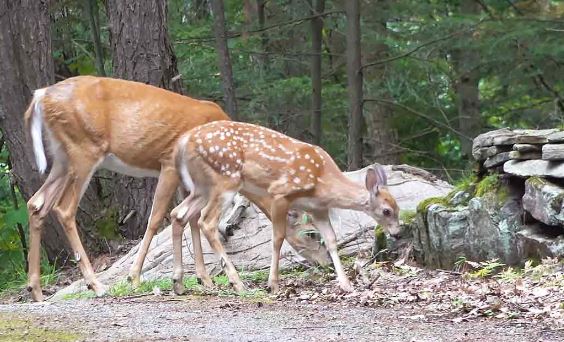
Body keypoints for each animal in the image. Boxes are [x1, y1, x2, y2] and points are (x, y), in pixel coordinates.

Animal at [24, 76, 229, 300]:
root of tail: (42, 95)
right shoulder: (168, 163)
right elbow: (156, 219)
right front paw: (134, 277)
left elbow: (191, 220)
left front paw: (205, 279)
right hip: (84, 149)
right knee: (64, 209)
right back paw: (96, 285)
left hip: (62, 156)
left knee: (36, 203)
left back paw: (36, 290)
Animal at [170, 120, 398, 294]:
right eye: (386, 211)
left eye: (397, 208)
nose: (396, 232)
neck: (322, 182)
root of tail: (183, 142)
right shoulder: (280, 194)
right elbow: (278, 238)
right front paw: (273, 284)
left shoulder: (318, 209)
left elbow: (332, 240)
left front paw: (346, 284)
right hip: (225, 179)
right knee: (206, 221)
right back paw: (238, 283)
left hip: (201, 187)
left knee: (178, 214)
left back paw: (178, 283)